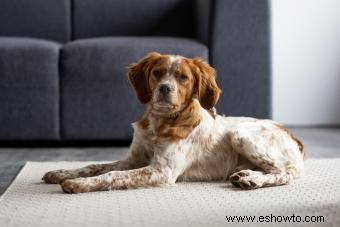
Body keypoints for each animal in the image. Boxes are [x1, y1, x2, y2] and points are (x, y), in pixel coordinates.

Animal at [42, 51, 306, 193]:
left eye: (183, 78)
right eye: (157, 73)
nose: (164, 89)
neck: (158, 124)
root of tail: (293, 137)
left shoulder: (162, 170)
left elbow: (112, 176)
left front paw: (78, 184)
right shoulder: (134, 159)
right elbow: (95, 165)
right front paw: (61, 172)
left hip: (240, 135)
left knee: (286, 173)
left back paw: (253, 179)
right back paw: (245, 175)